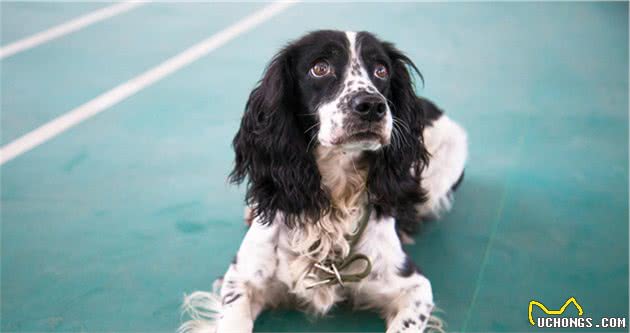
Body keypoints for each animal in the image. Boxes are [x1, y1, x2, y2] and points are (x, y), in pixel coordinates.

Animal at [180, 30, 466, 332]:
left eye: (381, 70)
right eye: (320, 68)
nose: (372, 106)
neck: (334, 195)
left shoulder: (415, 287)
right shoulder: (241, 276)